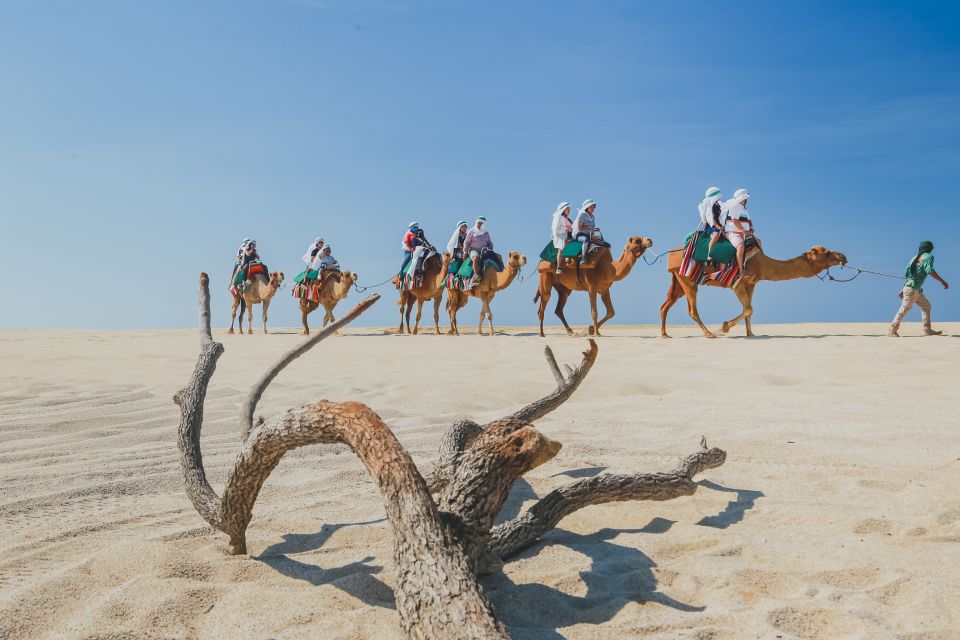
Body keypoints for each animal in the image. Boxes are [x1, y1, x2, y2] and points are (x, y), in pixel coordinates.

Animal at [660, 244, 848, 340]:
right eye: (827, 252)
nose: (843, 256)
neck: (762, 264)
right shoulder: (737, 283)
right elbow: (749, 309)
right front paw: (724, 327)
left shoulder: (751, 284)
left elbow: (748, 310)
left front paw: (750, 334)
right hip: (688, 279)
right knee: (692, 309)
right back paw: (710, 333)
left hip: (678, 279)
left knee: (665, 305)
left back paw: (665, 335)